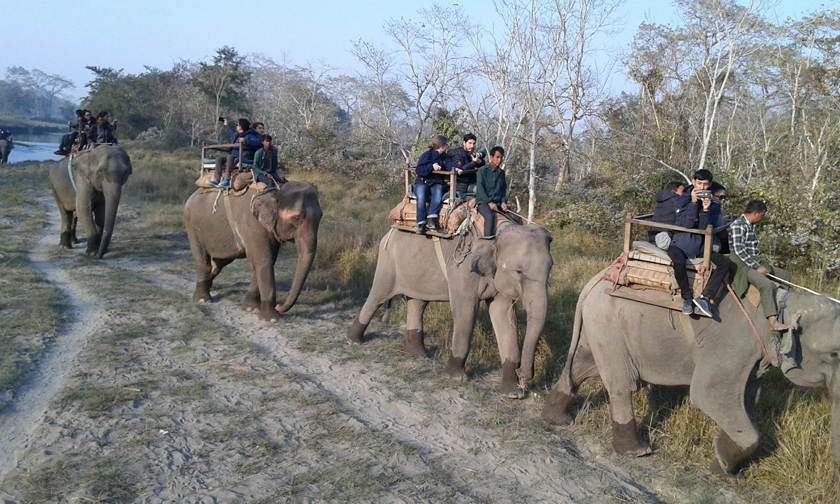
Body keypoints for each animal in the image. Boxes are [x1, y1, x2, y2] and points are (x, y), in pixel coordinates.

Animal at [184, 182, 322, 322]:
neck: (276, 190)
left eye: (320, 216)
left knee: (220, 262)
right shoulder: (252, 223)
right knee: (202, 260)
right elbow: (264, 260)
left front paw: (251, 308)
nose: (278, 306)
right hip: (191, 224)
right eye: (296, 218)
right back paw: (203, 299)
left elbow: (267, 260)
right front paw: (272, 319)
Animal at [344, 222, 556, 396]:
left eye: (550, 268)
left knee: (418, 303)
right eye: (519, 271)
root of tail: (390, 231)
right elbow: (466, 311)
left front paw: (512, 393)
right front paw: (456, 378)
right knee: (378, 297)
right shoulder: (463, 268)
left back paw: (417, 354)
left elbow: (504, 316)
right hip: (388, 260)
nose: (524, 375)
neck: (497, 234)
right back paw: (353, 341)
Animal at [540, 268, 840, 476]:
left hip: (600, 324)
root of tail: (592, 283)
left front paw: (724, 469)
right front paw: (722, 468)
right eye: (834, 355)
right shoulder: (734, 343)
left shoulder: (755, 357)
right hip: (609, 324)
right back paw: (637, 451)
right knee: (622, 383)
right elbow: (708, 395)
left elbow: (748, 399)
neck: (783, 303)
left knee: (582, 367)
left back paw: (557, 419)